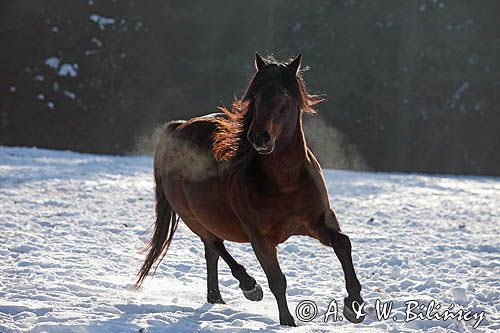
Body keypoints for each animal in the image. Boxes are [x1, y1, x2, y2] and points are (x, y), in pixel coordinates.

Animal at [135, 53, 366, 326]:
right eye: (255, 95)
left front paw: (354, 305)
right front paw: (287, 321)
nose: (259, 137)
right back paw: (249, 287)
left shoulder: (318, 221)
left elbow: (343, 244)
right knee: (215, 245)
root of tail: (178, 127)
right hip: (193, 219)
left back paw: (216, 299)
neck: (286, 183)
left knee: (211, 253)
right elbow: (277, 280)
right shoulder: (260, 238)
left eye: (284, 94)